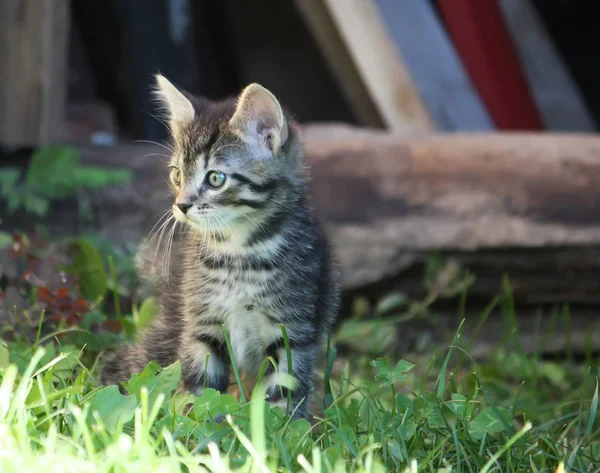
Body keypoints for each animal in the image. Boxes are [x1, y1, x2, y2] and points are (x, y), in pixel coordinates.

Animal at [101, 74, 340, 416]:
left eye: (215, 178)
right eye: (177, 175)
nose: (181, 205)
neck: (240, 252)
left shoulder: (293, 330)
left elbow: (282, 394)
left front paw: (280, 425)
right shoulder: (202, 324)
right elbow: (200, 389)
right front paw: (195, 424)